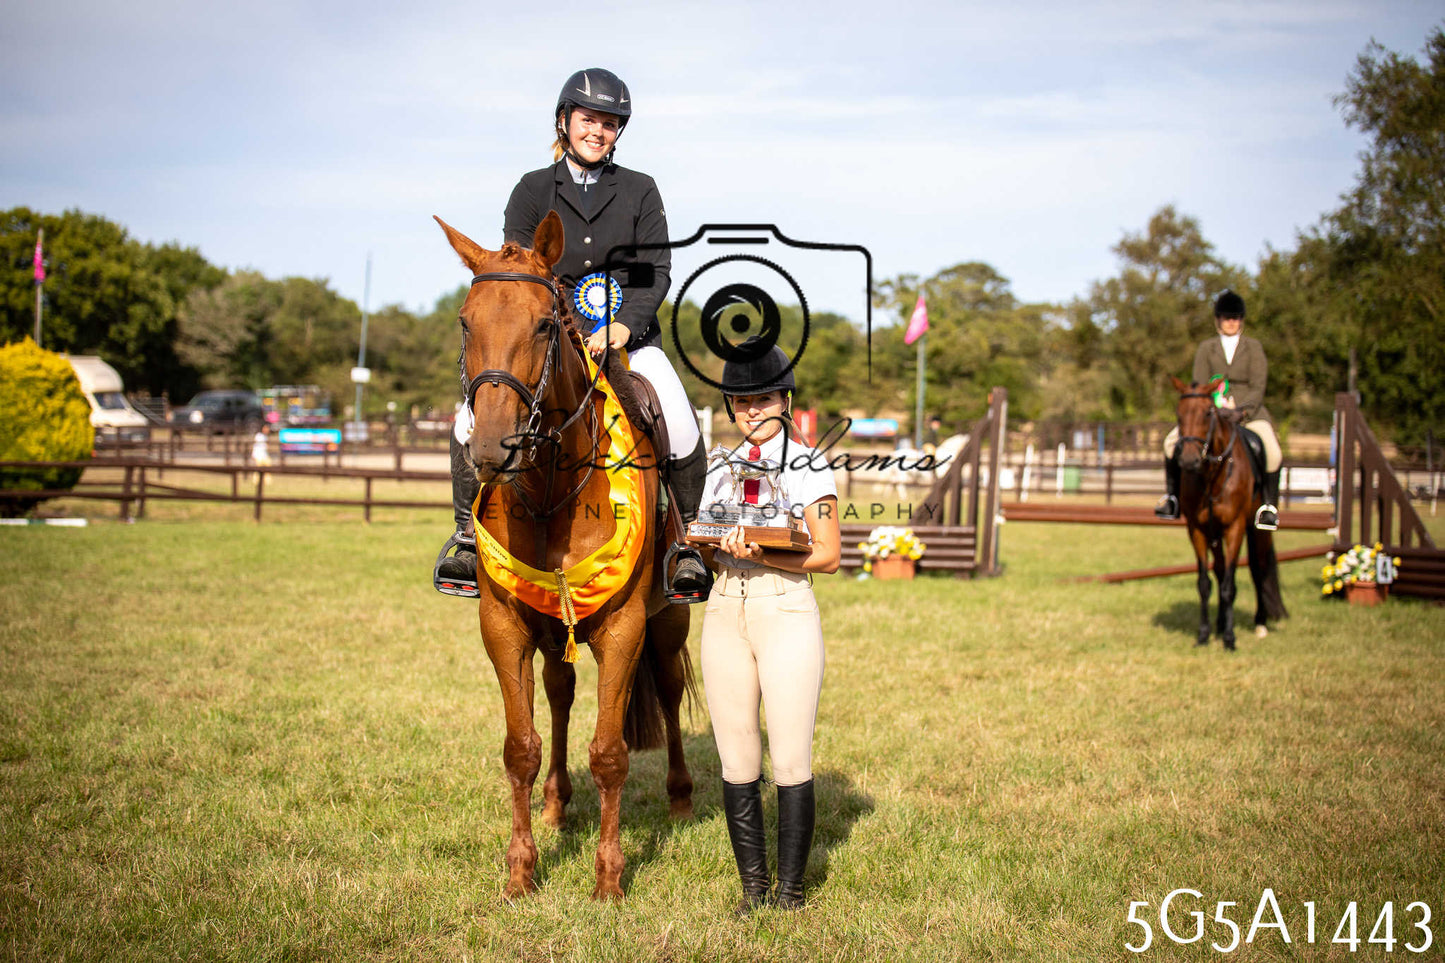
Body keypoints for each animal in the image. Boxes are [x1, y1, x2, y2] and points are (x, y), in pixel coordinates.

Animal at [436, 211, 695, 901]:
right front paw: (521, 872)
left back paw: (681, 798)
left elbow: (609, 751)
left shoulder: (626, 626)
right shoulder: (503, 625)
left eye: (545, 324)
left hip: (668, 620)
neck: (553, 487)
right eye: (466, 321)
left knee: (668, 688)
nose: (493, 449)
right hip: (554, 627)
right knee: (559, 693)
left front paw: (608, 879)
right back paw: (556, 801)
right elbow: (519, 747)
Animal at [1170, 375, 1288, 649]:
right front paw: (1204, 634)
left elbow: (1230, 585)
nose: (1188, 461)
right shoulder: (1198, 529)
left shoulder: (1235, 527)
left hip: (1257, 530)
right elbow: (1205, 583)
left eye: (1207, 412)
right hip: (1215, 533)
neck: (1212, 476)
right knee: (1220, 569)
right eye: (1179, 414)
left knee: (1258, 568)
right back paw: (1221, 622)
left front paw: (1230, 639)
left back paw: (1260, 623)